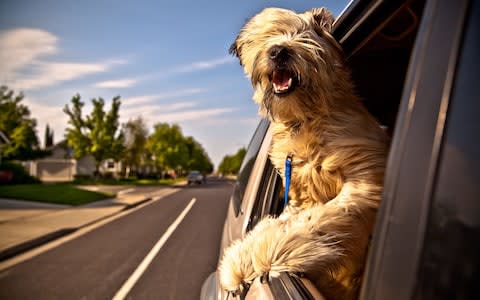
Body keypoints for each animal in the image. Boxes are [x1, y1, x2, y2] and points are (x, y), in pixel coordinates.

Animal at [218, 7, 390, 300]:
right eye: (269, 34)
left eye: (307, 33)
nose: (278, 51)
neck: (305, 120)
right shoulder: (298, 193)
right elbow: (288, 221)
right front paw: (240, 259)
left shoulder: (364, 180)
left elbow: (317, 220)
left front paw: (268, 253)